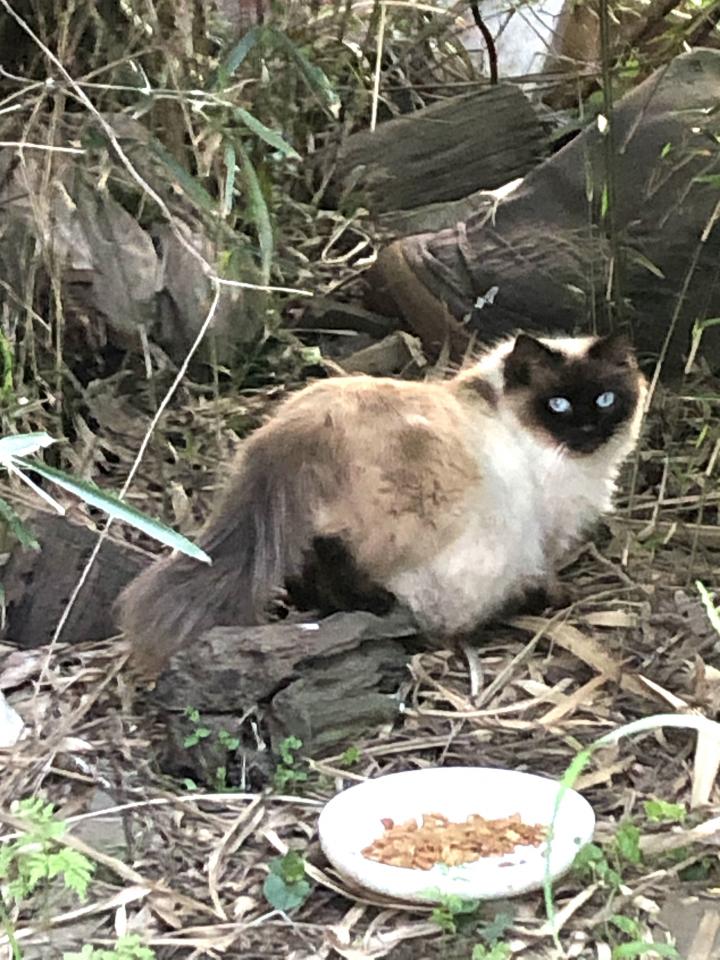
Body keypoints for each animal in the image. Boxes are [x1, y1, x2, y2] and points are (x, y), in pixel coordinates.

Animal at [117, 331, 646, 675]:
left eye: (604, 399)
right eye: (558, 405)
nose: (589, 432)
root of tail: (307, 422)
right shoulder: (542, 531)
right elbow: (546, 572)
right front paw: (557, 596)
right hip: (423, 534)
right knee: (364, 571)